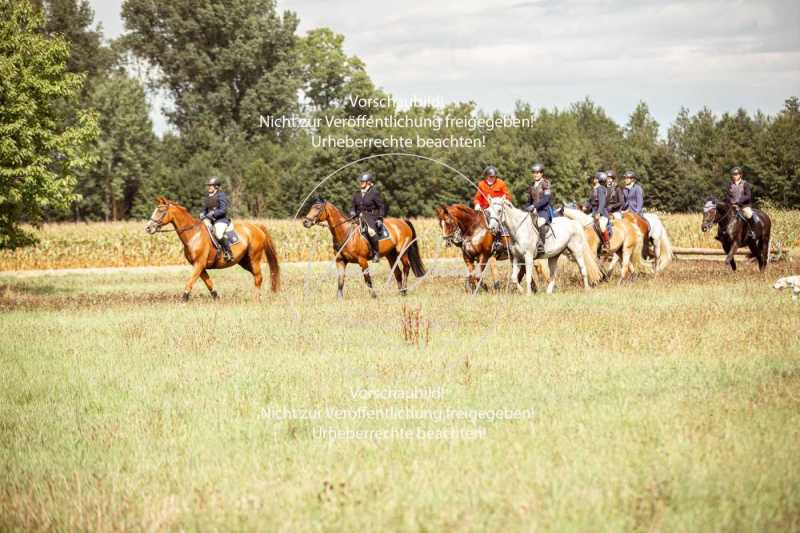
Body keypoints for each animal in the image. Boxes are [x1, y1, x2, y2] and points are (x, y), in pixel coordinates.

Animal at [145, 197, 282, 302]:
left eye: (161, 210)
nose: (148, 228)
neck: (194, 234)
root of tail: (257, 227)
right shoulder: (200, 266)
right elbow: (208, 283)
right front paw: (217, 298)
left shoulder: (199, 264)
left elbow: (190, 281)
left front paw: (183, 299)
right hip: (244, 261)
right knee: (256, 276)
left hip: (254, 258)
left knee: (258, 277)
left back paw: (256, 299)